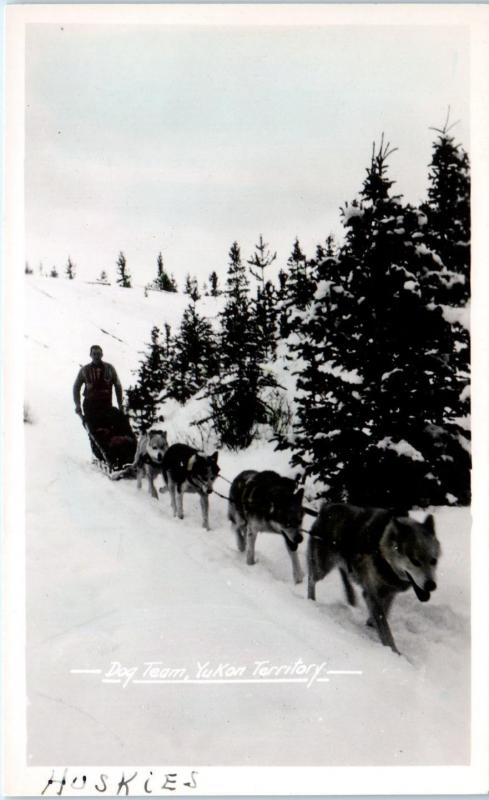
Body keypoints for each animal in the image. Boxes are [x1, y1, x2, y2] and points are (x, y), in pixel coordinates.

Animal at [306, 504, 440, 652]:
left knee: (343, 573)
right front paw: (395, 653)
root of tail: (326, 507)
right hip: (321, 568)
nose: (431, 585)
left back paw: (350, 597)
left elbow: (382, 614)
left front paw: (370, 624)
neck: (382, 550)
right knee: (311, 579)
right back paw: (310, 601)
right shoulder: (372, 595)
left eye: (433, 561)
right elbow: (385, 630)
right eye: (415, 561)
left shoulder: (389, 593)